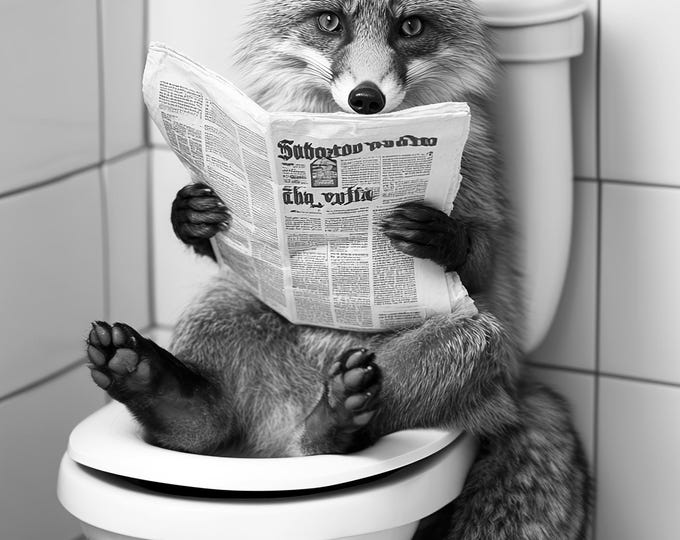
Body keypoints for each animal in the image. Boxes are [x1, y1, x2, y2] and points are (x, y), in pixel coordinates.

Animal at [86, 0, 592, 537]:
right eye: (331, 21)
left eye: (410, 26)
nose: (365, 98)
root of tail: (283, 429)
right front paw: (189, 216)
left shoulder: (477, 180)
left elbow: (484, 259)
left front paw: (442, 237)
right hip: (228, 302)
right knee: (211, 425)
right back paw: (161, 393)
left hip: (474, 344)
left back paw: (333, 424)